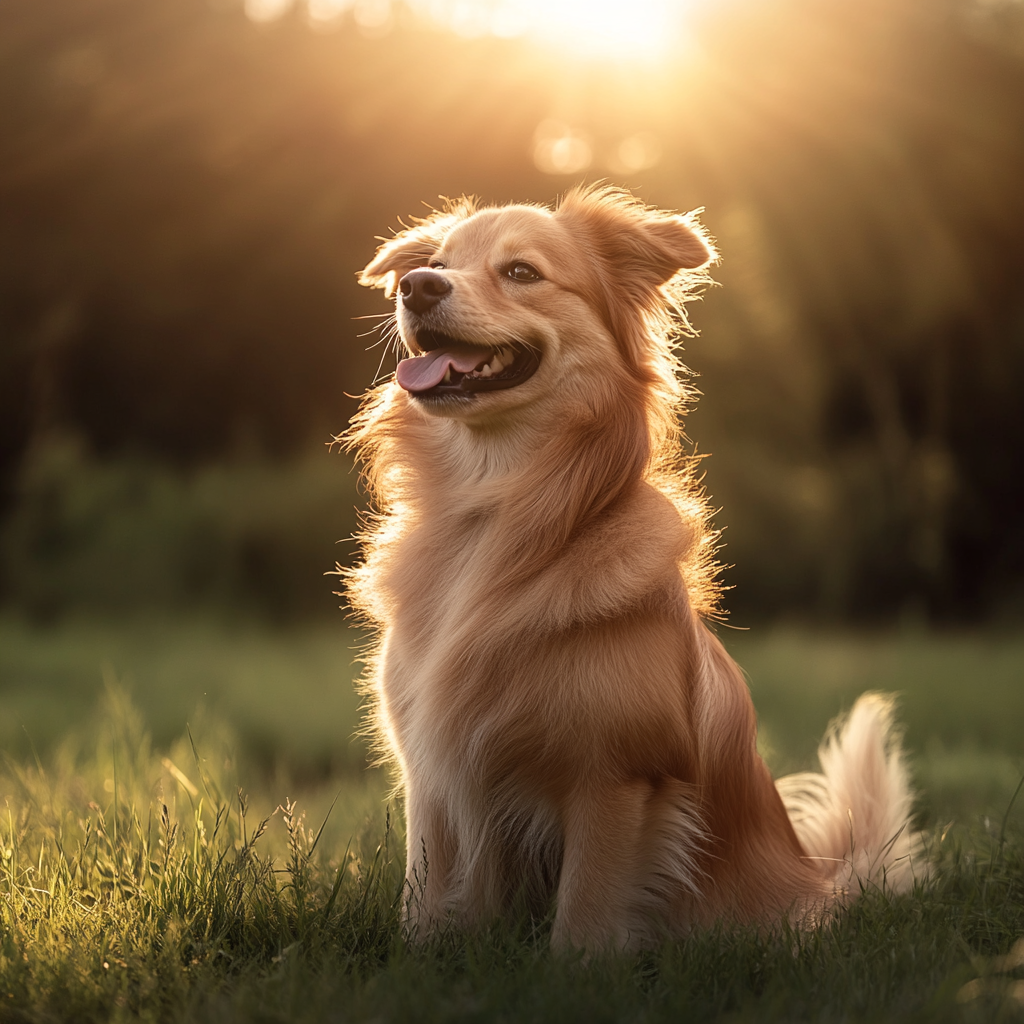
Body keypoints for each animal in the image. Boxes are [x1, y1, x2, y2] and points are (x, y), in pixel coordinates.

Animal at [342, 186, 921, 950]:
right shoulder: (434, 780)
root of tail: (822, 878)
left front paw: (575, 971)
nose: (416, 286)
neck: (493, 514)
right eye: (437, 264)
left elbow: (584, 919)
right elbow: (425, 904)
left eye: (521, 272)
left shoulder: (614, 783)